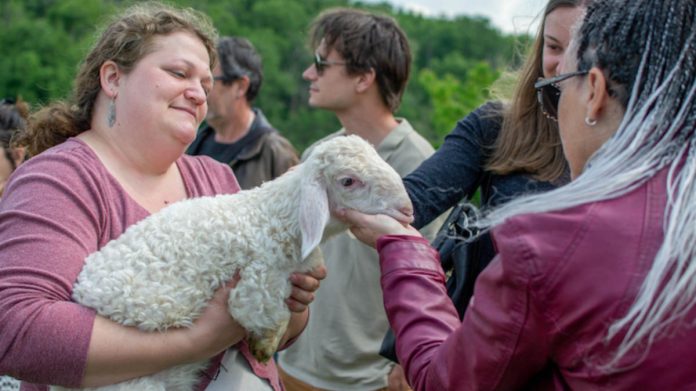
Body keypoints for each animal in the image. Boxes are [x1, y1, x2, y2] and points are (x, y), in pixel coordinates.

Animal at [55, 136, 414, 391]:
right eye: (348, 181)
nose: (407, 209)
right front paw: (264, 348)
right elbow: (269, 315)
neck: (272, 217)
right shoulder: (257, 285)